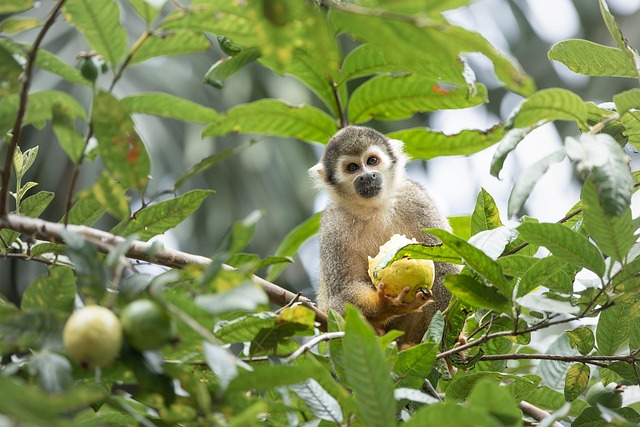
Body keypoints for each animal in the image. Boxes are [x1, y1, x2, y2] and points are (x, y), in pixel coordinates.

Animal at [309, 125, 460, 346]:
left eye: (372, 161)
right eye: (352, 167)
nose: (367, 176)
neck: (373, 208)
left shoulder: (416, 199)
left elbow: (446, 270)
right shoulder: (333, 224)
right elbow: (342, 292)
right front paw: (388, 304)